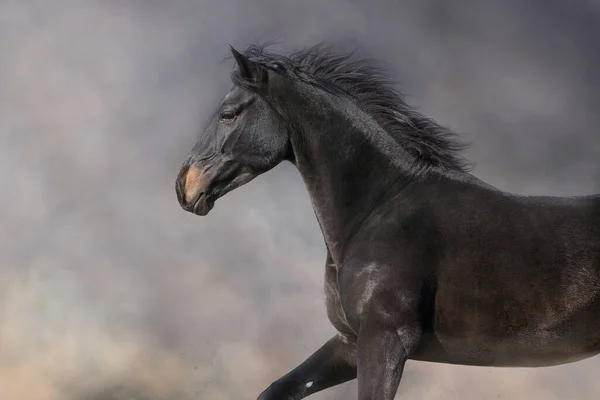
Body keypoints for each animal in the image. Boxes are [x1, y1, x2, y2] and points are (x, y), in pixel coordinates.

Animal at [173, 43, 600, 400]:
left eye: (228, 114)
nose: (184, 186)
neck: (379, 210)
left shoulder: (385, 339)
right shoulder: (349, 342)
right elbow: (277, 390)